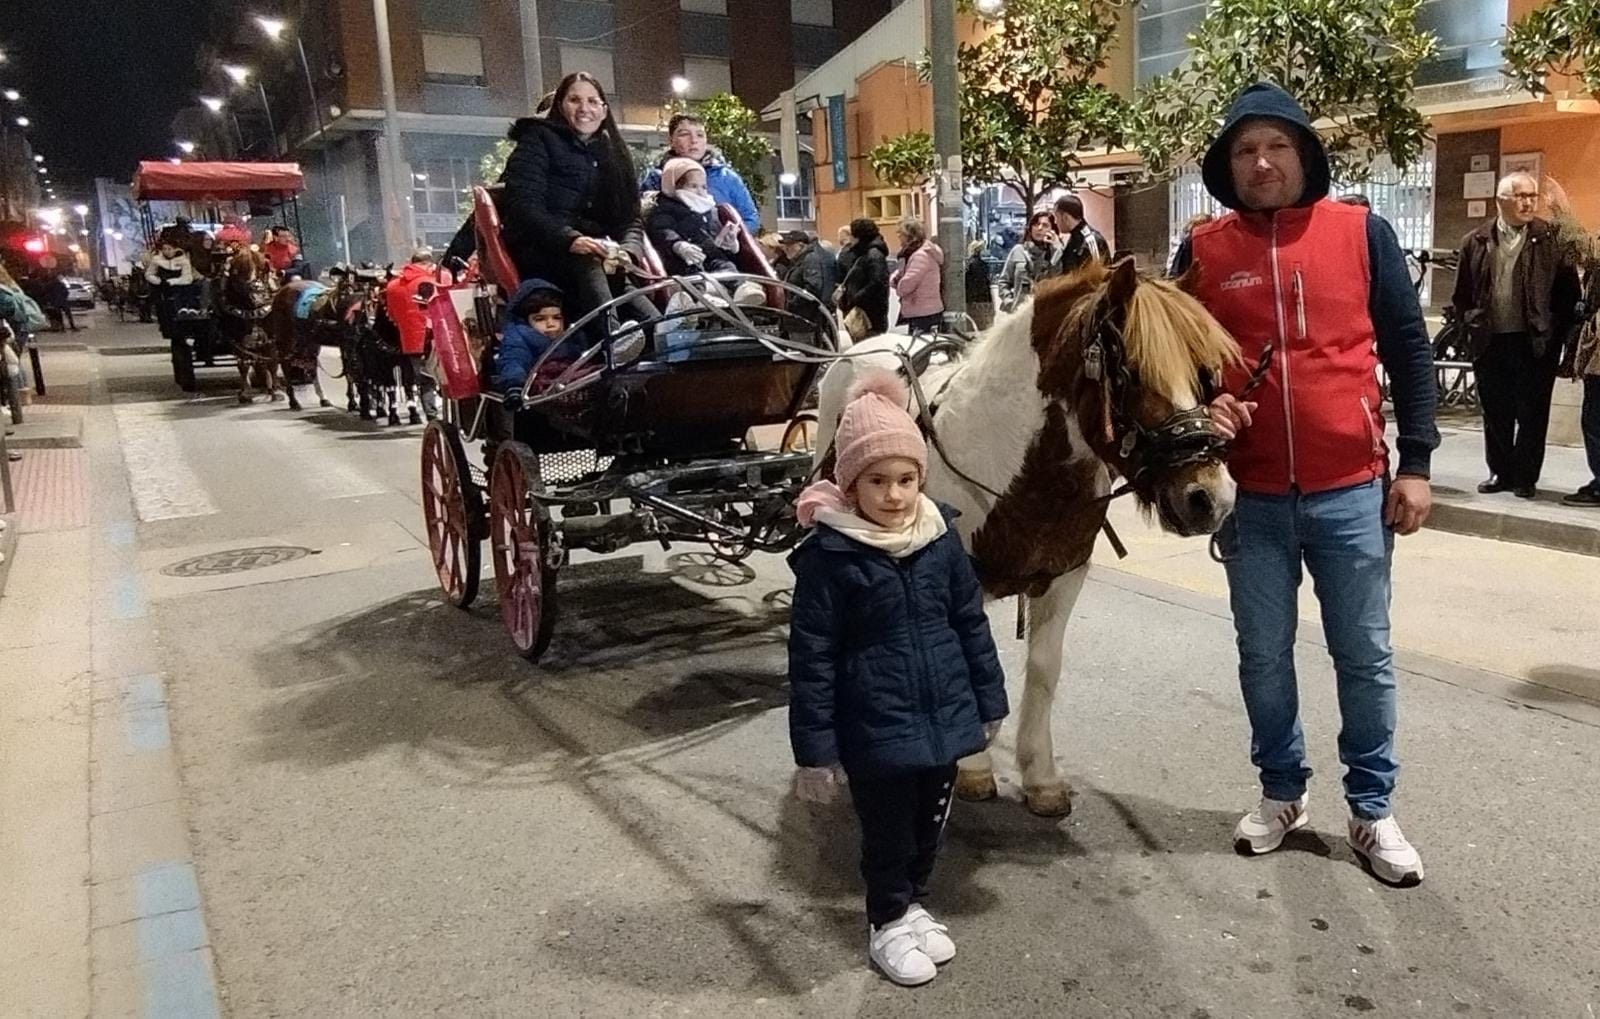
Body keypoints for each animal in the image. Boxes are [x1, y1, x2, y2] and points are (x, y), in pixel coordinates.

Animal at [819, 257, 1241, 815]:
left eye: (1203, 374)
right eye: (1129, 372)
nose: (1210, 497)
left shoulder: (1064, 577)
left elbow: (1043, 668)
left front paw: (1040, 773)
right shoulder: (961, 581)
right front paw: (974, 767)